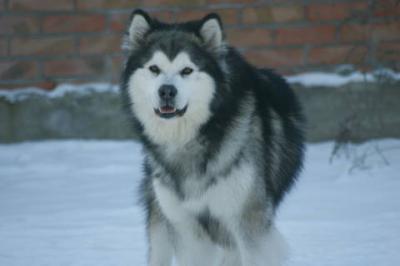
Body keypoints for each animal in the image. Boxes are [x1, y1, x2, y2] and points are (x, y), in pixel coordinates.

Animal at [120, 9, 304, 264]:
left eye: (187, 70)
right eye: (154, 69)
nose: (167, 91)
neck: (188, 140)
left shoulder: (247, 222)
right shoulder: (185, 227)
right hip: (160, 222)